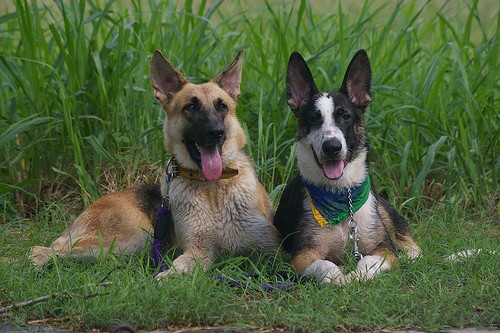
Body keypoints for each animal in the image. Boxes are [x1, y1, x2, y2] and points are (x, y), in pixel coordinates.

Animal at [31, 50, 282, 278]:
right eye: (191, 107)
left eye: (222, 106)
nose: (216, 133)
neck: (212, 190)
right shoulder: (198, 250)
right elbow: (177, 268)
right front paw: (164, 278)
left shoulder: (274, 246)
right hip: (134, 239)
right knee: (44, 248)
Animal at [274, 50, 422, 284]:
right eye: (314, 118)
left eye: (345, 116)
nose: (332, 147)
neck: (341, 195)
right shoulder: (303, 254)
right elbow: (325, 264)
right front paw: (339, 277)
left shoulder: (384, 249)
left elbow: (368, 260)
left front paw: (357, 275)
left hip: (383, 209)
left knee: (410, 244)